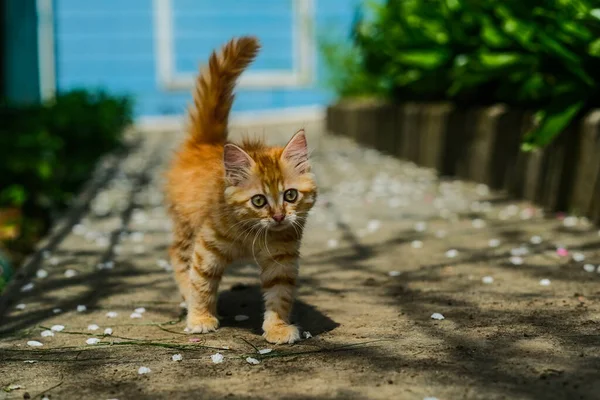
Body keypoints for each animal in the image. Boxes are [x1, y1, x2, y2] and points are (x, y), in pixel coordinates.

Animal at [162, 36, 316, 346]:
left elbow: (280, 294)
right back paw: (186, 298)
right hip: (186, 225)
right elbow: (202, 283)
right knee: (177, 256)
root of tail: (206, 142)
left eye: (290, 195)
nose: (279, 217)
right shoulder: (207, 247)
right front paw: (200, 318)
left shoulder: (282, 258)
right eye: (258, 201)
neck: (252, 236)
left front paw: (277, 328)